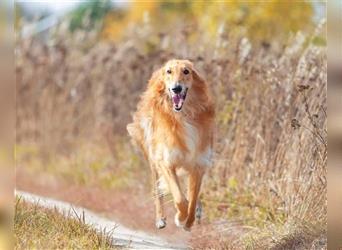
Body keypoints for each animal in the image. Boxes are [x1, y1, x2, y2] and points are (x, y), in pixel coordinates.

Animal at [127, 58, 215, 230]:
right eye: (169, 71)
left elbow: (191, 201)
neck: (183, 116)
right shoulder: (165, 161)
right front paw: (181, 218)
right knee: (157, 189)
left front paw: (189, 220)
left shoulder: (198, 163)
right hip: (153, 158)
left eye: (186, 71)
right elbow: (180, 199)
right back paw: (160, 219)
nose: (176, 88)